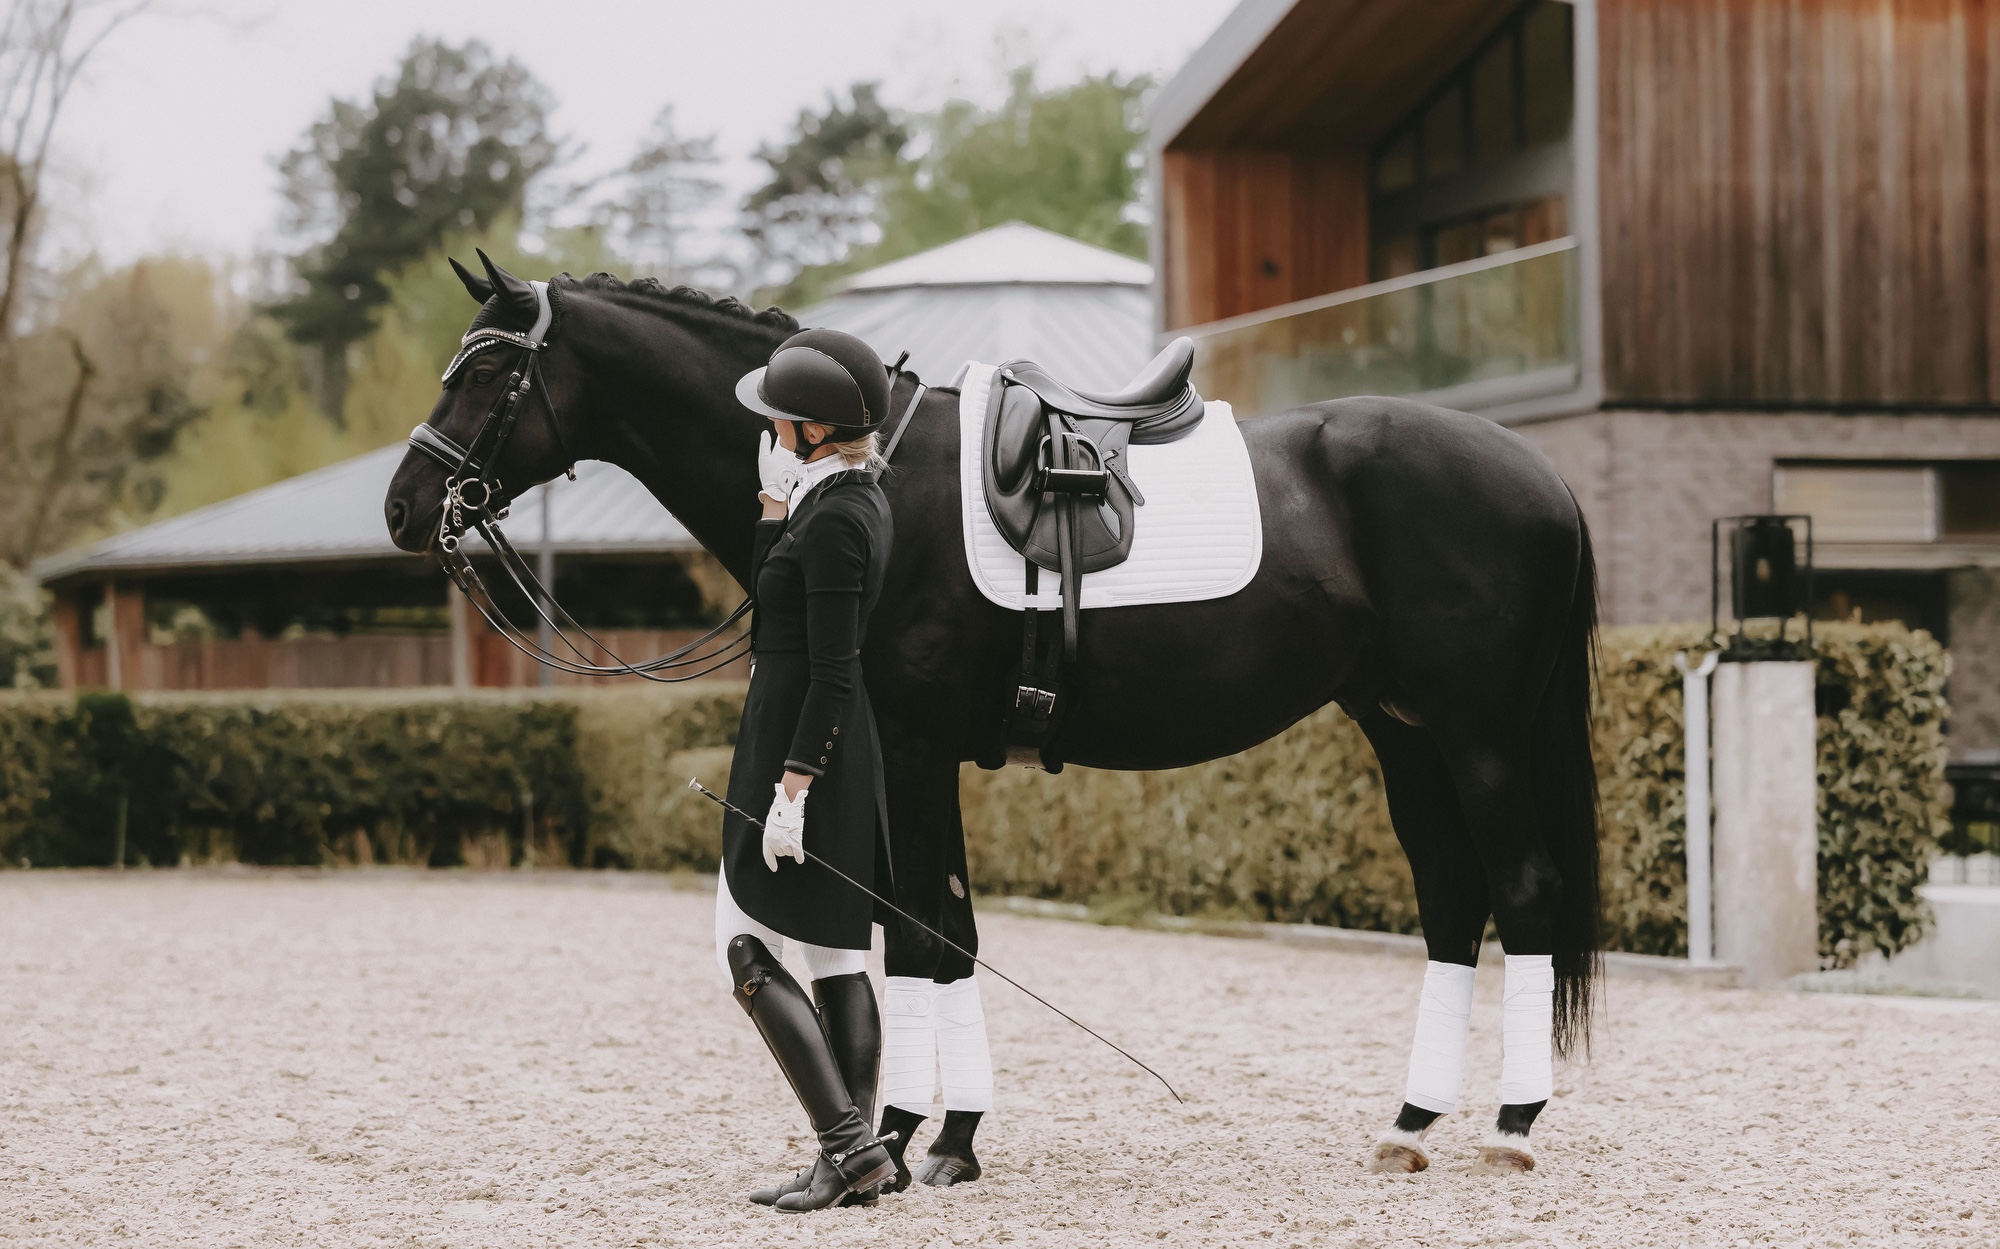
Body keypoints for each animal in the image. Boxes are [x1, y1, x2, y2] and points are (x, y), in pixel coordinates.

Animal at [382, 255, 1601, 1178]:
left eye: (486, 370)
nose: (405, 505)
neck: (876, 477)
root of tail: (1539, 472)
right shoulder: (895, 754)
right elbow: (935, 932)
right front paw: (924, 1132)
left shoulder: (916, 752)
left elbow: (921, 932)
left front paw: (925, 1141)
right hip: (1403, 732)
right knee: (1452, 901)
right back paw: (1409, 1122)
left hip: (1480, 739)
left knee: (1525, 891)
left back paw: (1509, 1125)